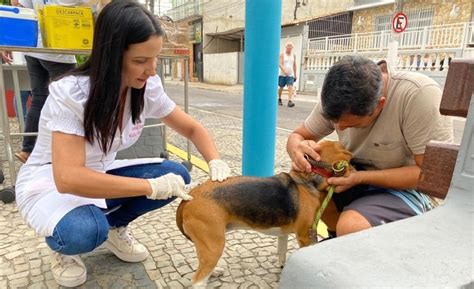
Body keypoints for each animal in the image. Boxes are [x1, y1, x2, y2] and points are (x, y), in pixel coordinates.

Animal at [176, 140, 350, 286]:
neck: (307, 180)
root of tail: (190, 197)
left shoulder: (283, 234)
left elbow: (282, 251)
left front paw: (283, 267)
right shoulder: (305, 235)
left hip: (207, 245)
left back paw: (214, 271)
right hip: (214, 246)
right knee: (198, 280)